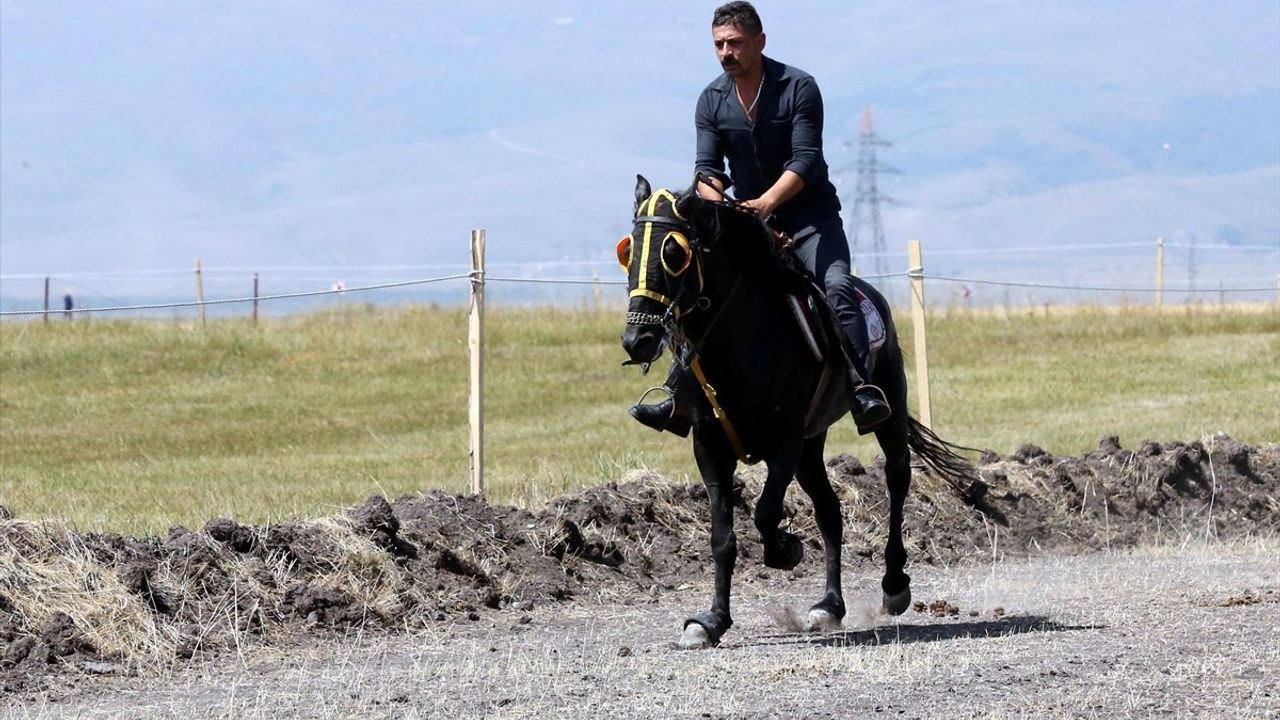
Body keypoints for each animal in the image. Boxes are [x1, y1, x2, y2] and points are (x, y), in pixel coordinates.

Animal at [616, 176, 967, 648]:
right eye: (629, 251)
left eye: (674, 253)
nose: (637, 340)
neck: (739, 341)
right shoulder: (710, 446)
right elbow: (722, 536)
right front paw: (711, 621)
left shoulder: (784, 440)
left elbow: (765, 512)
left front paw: (785, 549)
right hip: (811, 446)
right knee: (830, 512)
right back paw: (829, 606)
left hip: (884, 418)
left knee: (897, 480)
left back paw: (894, 585)